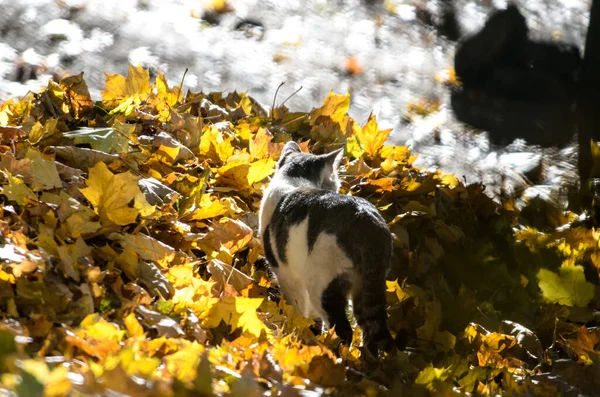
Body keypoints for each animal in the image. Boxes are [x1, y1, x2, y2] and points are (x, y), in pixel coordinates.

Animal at [258, 141, 394, 354]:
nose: (338, 186)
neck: (294, 179)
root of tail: (366, 219)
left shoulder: (286, 273)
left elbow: (298, 308)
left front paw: (298, 328)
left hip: (322, 283)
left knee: (343, 328)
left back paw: (332, 352)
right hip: (365, 284)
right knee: (368, 328)